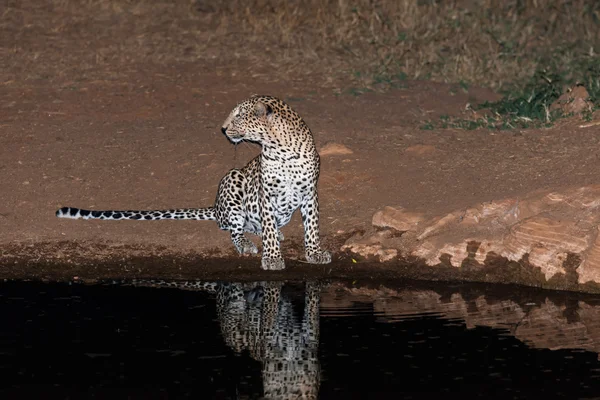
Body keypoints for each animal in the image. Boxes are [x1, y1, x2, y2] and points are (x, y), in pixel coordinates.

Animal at [56, 95, 332, 270]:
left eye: (238, 117)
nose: (223, 129)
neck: (282, 149)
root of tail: (216, 208)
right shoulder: (266, 193)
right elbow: (270, 232)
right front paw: (273, 257)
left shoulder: (310, 192)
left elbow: (312, 227)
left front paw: (314, 253)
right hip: (233, 178)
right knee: (234, 229)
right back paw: (247, 242)